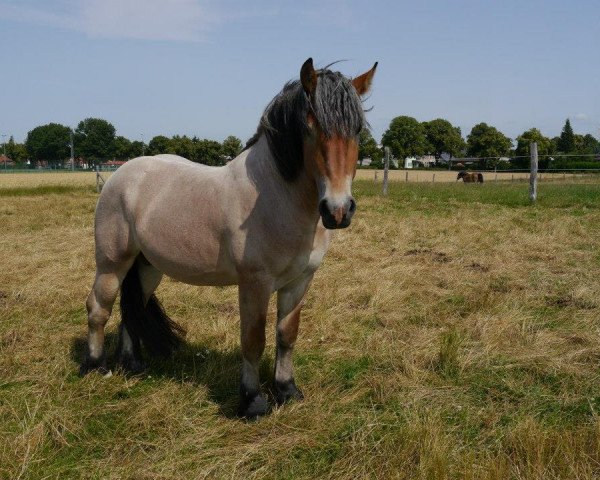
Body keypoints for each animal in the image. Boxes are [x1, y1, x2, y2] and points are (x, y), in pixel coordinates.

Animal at [81, 58, 378, 418]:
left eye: (358, 130)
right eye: (310, 126)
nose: (337, 210)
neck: (275, 197)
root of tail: (120, 176)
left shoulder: (300, 281)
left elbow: (286, 335)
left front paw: (287, 391)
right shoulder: (255, 283)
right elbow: (253, 340)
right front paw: (253, 401)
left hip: (148, 267)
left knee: (132, 308)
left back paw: (133, 366)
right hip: (111, 264)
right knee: (99, 307)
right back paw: (96, 367)